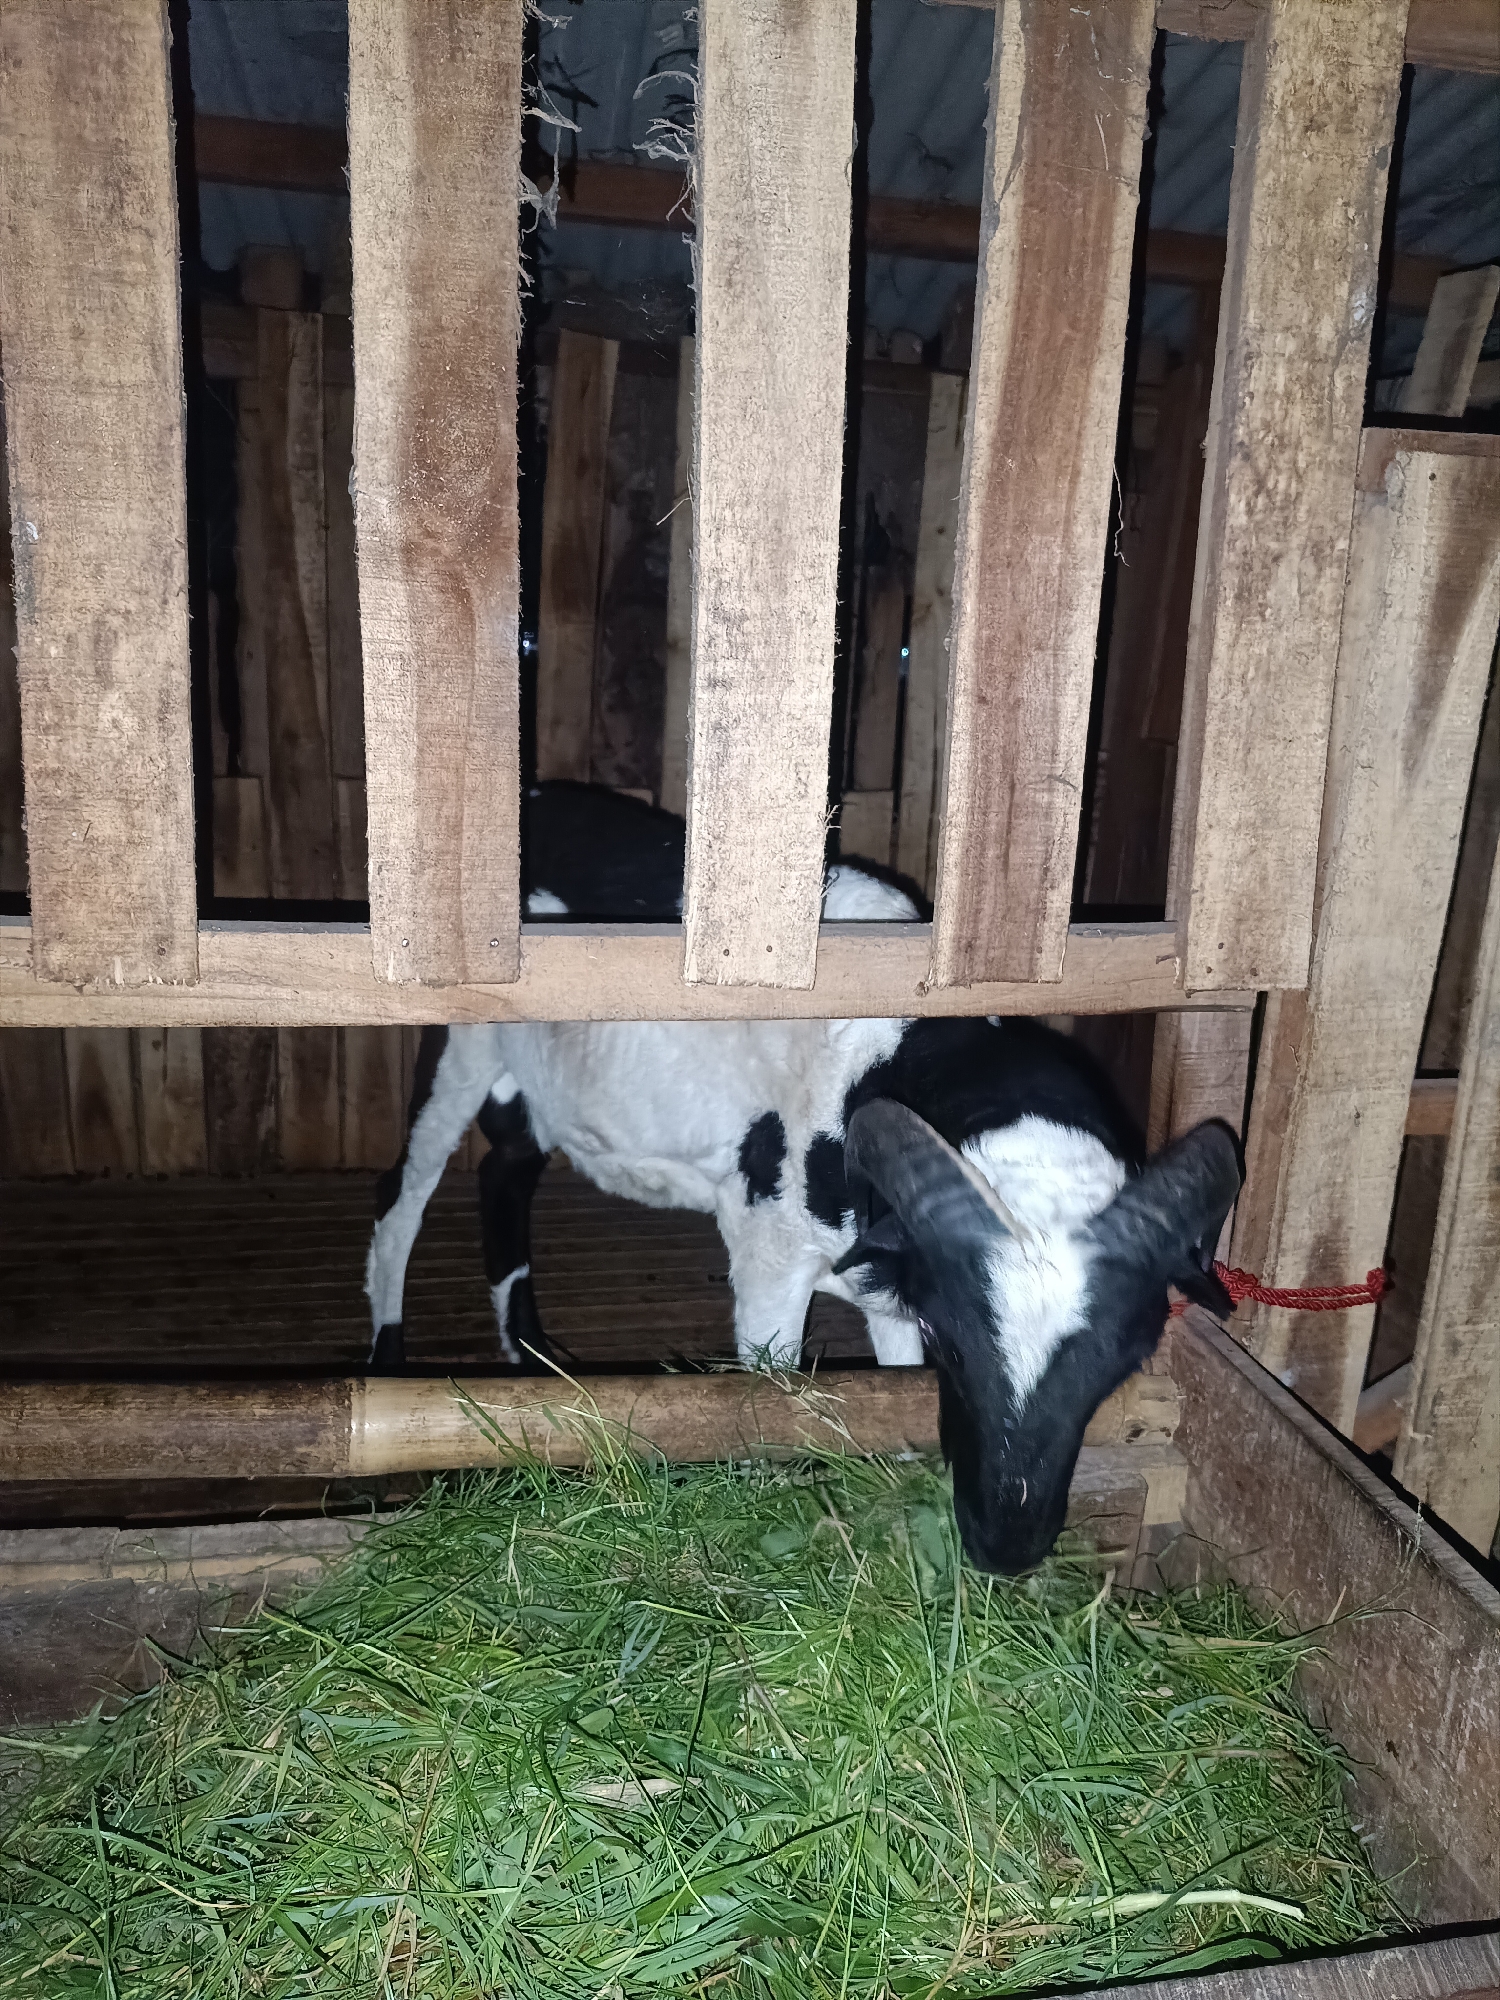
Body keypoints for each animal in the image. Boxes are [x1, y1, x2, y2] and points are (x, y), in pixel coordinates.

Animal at [368, 781, 1242, 1574]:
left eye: (1118, 1369)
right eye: (957, 1350)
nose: (1007, 1550)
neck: (896, 1052)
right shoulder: (770, 1252)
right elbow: (767, 1400)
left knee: (505, 1172)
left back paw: (533, 1356)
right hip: (459, 1047)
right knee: (400, 1201)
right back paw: (386, 1369)